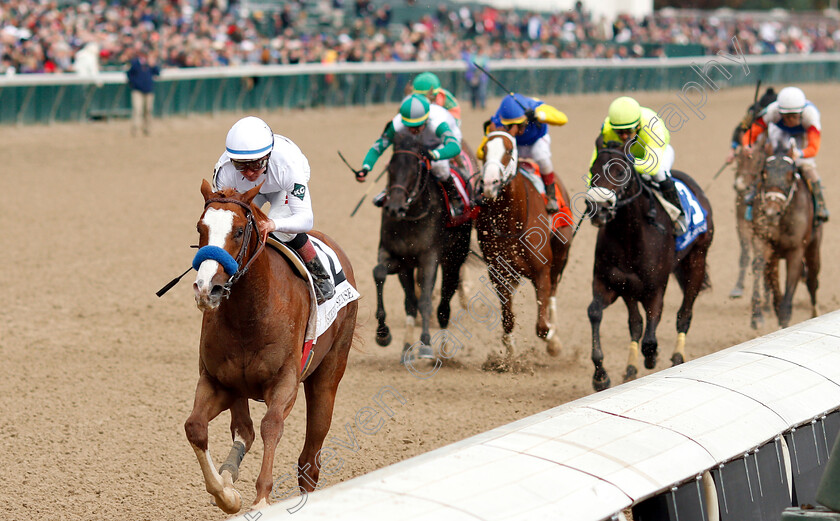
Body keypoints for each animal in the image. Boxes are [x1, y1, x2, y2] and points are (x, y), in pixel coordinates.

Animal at [187, 181, 358, 512]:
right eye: (200, 227)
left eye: (239, 230)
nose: (206, 289)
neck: (250, 314)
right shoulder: (216, 381)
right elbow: (196, 427)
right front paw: (226, 495)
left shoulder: (284, 381)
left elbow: (272, 425)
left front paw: (262, 499)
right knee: (244, 429)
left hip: (328, 376)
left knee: (309, 460)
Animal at [374, 131, 472, 358]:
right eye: (390, 169)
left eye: (414, 170)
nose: (394, 208)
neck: (411, 217)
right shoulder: (398, 257)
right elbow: (380, 274)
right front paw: (383, 334)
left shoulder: (429, 257)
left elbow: (426, 299)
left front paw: (426, 343)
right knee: (413, 301)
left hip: (454, 259)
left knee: (444, 303)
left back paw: (443, 349)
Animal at [476, 132, 576, 356]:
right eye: (484, 149)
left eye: (508, 150)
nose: (489, 183)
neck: (511, 222)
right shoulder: (498, 272)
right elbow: (508, 319)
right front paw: (510, 354)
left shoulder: (542, 270)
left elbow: (542, 327)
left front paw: (553, 340)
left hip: (561, 250)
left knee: (553, 291)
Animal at [584, 141, 716, 390]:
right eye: (592, 170)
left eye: (620, 172)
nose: (598, 207)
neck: (629, 237)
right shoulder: (611, 283)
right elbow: (596, 312)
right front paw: (600, 376)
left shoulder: (655, 290)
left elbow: (650, 337)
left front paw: (652, 356)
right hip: (631, 288)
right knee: (635, 324)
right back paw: (631, 367)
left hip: (697, 260)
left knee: (684, 314)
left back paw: (676, 357)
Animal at [748, 152, 820, 328]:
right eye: (764, 173)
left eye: (791, 175)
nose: (771, 212)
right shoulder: (763, 241)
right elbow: (759, 266)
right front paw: (757, 316)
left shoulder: (796, 250)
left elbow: (789, 291)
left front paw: (785, 317)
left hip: (814, 247)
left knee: (813, 280)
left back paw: (815, 313)